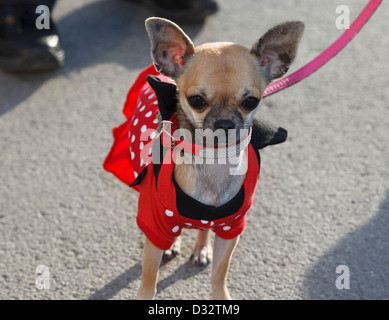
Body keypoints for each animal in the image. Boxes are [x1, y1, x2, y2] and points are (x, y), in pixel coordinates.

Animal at [135, 17, 304, 298]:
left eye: (251, 101)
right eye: (196, 100)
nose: (225, 123)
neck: (215, 158)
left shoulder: (230, 230)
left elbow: (219, 275)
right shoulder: (156, 225)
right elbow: (149, 282)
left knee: (203, 227)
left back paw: (201, 247)